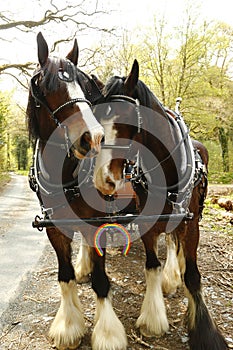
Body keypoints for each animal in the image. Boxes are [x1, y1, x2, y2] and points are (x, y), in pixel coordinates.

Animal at [92, 58, 228, 348]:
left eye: (126, 117)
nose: (102, 178)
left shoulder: (191, 224)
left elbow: (193, 275)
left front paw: (205, 332)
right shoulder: (148, 220)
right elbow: (152, 266)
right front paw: (153, 317)